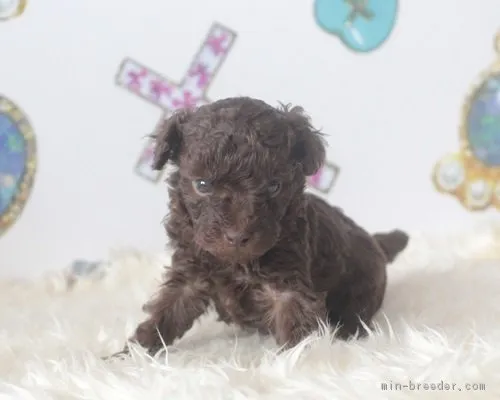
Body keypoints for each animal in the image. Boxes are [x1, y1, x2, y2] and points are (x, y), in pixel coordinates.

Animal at [127, 98, 408, 354]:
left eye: (274, 186)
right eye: (202, 185)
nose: (237, 236)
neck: (235, 263)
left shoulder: (288, 282)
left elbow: (294, 324)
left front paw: (298, 361)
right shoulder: (191, 271)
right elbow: (167, 310)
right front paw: (133, 353)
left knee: (355, 312)